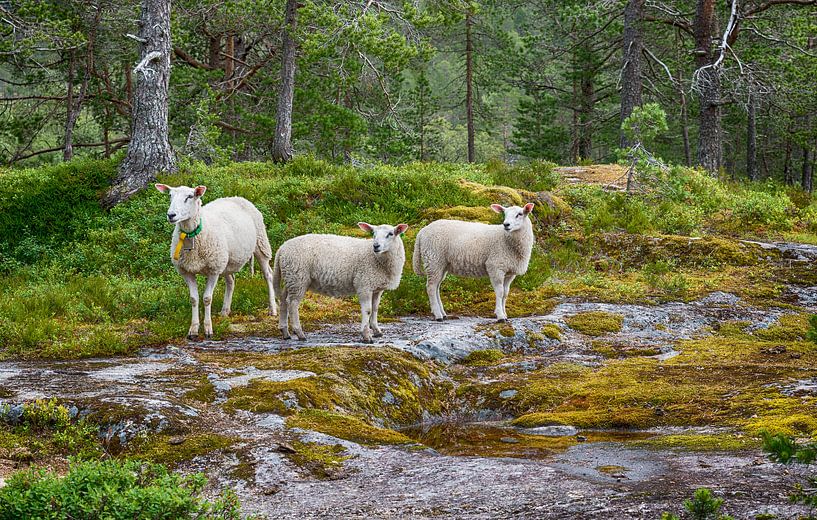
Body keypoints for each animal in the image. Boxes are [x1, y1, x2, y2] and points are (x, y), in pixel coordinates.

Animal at [155, 184, 278, 342]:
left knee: (268, 275)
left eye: (190, 196)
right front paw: (193, 330)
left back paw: (273, 309)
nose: (171, 215)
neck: (193, 234)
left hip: (260, 244)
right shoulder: (187, 271)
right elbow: (193, 299)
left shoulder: (213, 270)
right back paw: (225, 311)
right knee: (231, 281)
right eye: (170, 195)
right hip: (226, 260)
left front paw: (208, 329)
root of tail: (237, 196)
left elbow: (207, 298)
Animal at [272, 221, 408, 344]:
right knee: (292, 303)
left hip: (291, 277)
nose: (376, 246)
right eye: (373, 233)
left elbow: (375, 309)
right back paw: (299, 333)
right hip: (298, 277)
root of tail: (281, 249)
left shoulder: (377, 288)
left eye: (390, 234)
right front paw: (366, 335)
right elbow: (368, 310)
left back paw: (285, 332)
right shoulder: (364, 284)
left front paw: (376, 330)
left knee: (283, 300)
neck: (377, 259)